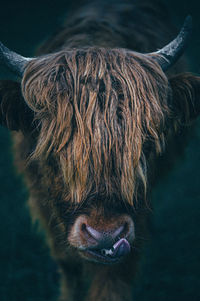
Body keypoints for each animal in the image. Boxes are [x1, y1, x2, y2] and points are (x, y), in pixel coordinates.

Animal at [0, 0, 200, 298]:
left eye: (145, 145)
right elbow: (68, 265)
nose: (105, 234)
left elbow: (111, 279)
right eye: (53, 147)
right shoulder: (42, 200)